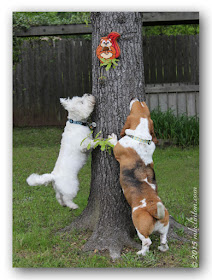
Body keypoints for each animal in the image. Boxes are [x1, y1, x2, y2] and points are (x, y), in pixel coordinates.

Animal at [108, 98, 170, 256]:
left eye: (137, 105)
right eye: (144, 105)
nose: (136, 98)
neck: (141, 137)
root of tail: (154, 211)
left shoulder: (118, 149)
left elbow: (115, 144)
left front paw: (112, 138)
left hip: (138, 223)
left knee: (147, 241)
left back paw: (141, 253)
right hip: (165, 226)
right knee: (164, 240)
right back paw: (162, 247)